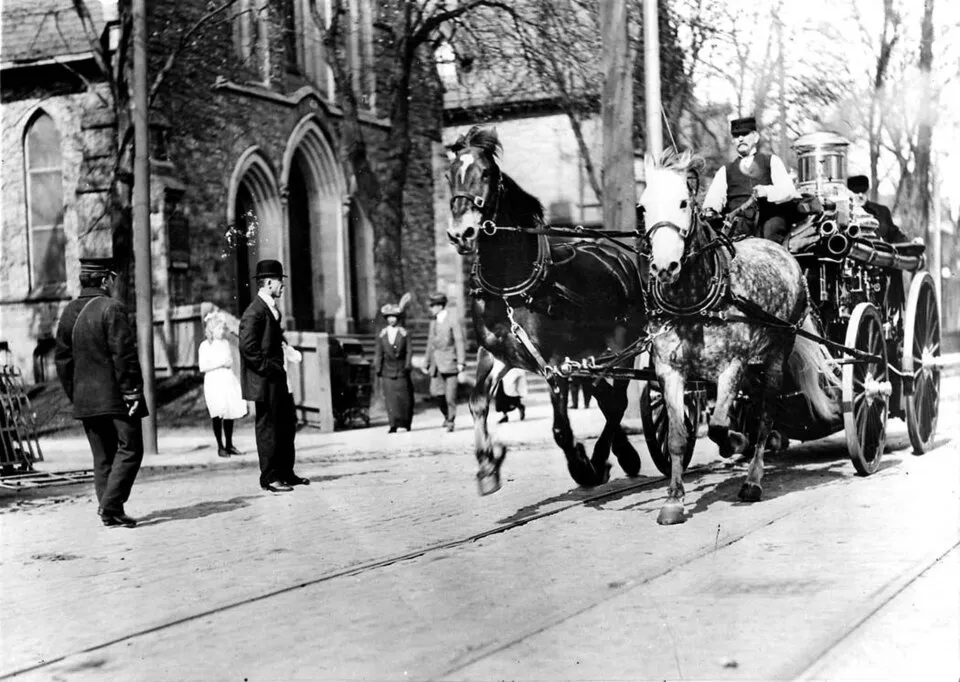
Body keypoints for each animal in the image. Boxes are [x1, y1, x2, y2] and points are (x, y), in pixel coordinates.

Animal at [445, 126, 647, 495]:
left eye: (486, 173)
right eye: (449, 174)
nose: (460, 233)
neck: (510, 288)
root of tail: (617, 256)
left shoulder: (555, 364)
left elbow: (561, 430)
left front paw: (582, 465)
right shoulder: (495, 354)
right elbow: (477, 402)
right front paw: (487, 465)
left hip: (624, 345)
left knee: (617, 403)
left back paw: (602, 459)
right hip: (591, 357)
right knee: (605, 398)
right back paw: (622, 455)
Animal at [638, 150, 840, 525]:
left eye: (684, 202)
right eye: (643, 207)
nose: (664, 267)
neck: (694, 303)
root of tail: (784, 253)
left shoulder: (732, 365)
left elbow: (718, 425)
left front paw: (734, 443)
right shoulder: (669, 371)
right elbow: (676, 437)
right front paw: (673, 501)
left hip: (776, 355)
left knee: (765, 416)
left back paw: (753, 479)